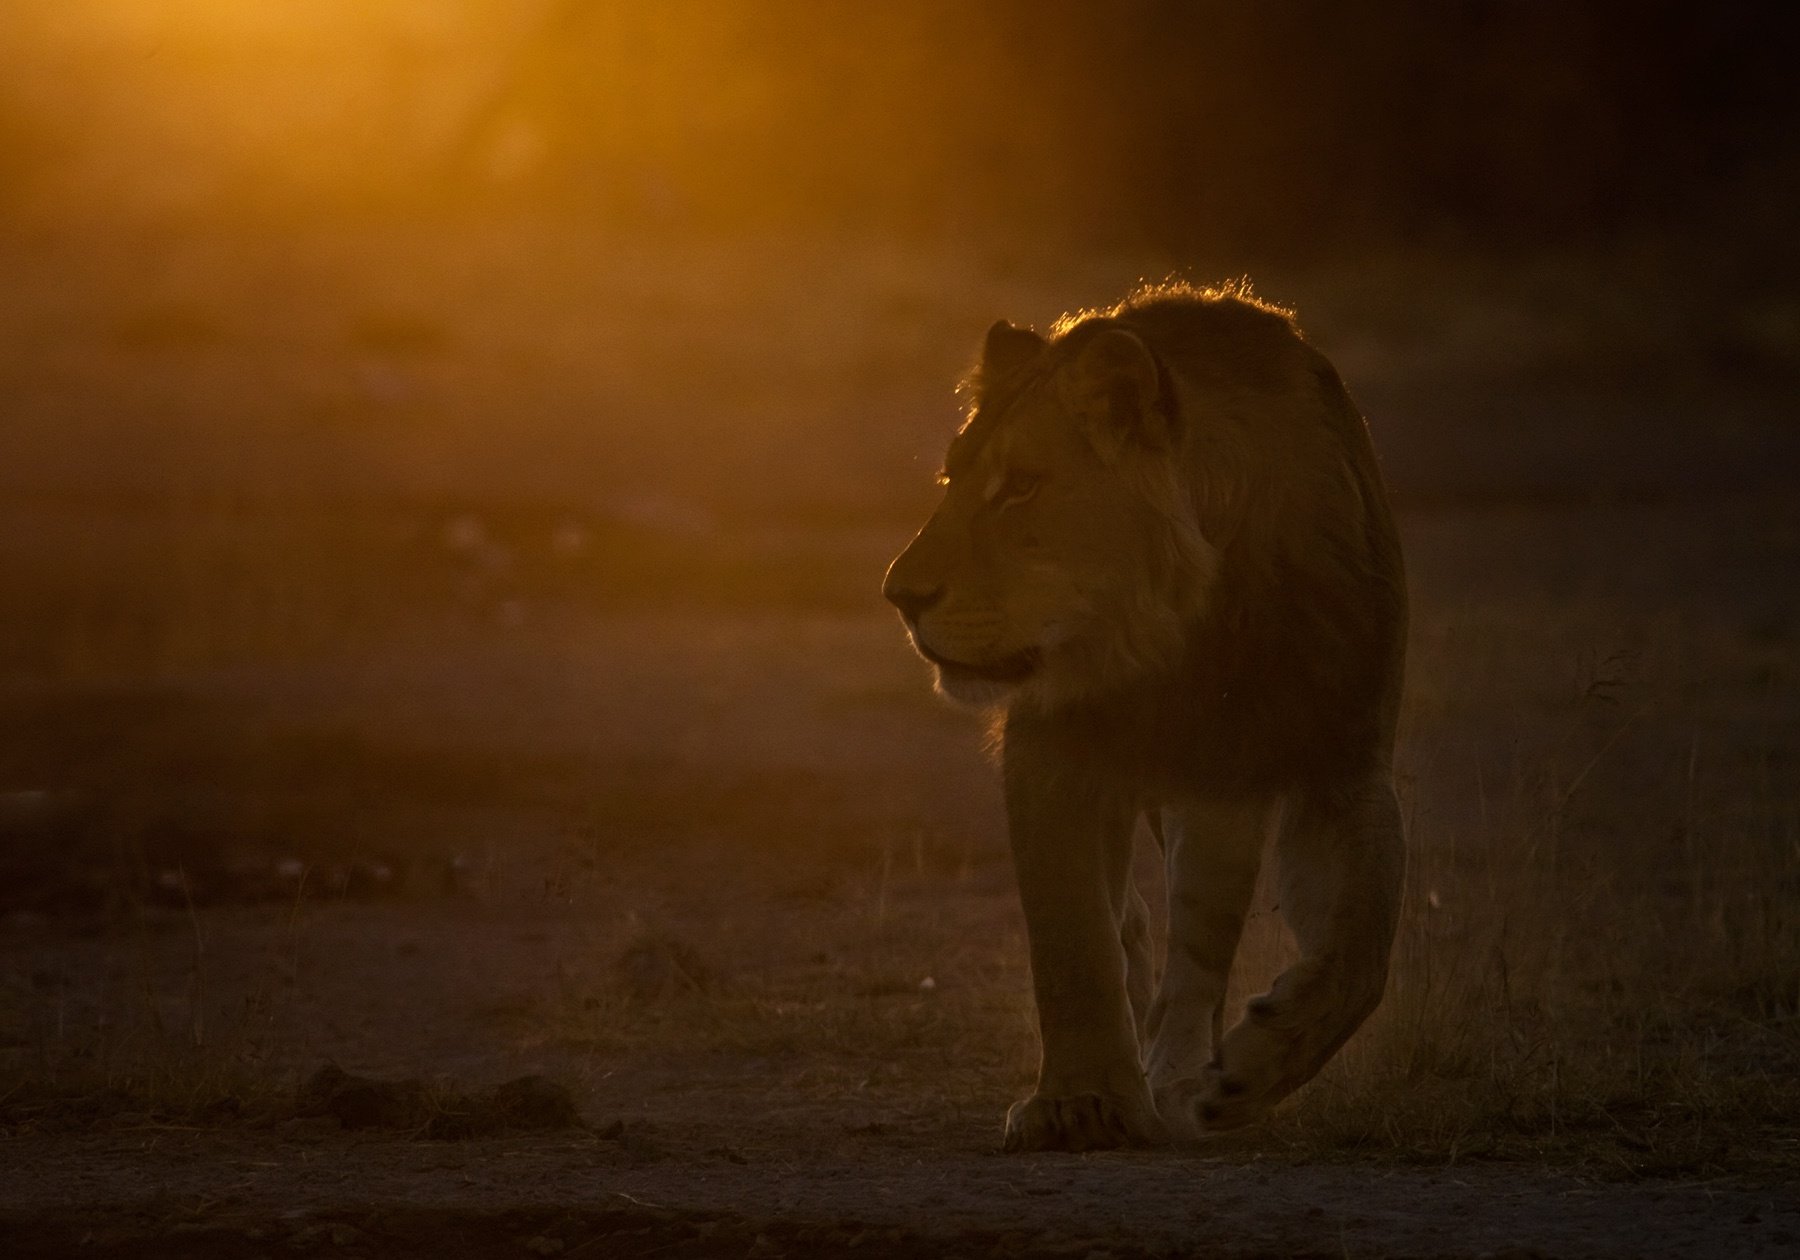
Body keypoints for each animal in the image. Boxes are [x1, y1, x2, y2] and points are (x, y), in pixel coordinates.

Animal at [882, 282, 1404, 1152]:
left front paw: (1255, 1070)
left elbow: (1363, 946)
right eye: (951, 478)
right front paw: (1082, 1101)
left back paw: (1185, 1078)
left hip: (1220, 792)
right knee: (1128, 927)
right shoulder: (1053, 748)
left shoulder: (1340, 760)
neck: (1187, 634)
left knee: (1199, 944)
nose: (899, 594)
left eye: (1019, 485)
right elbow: (1073, 942)